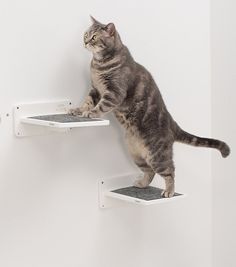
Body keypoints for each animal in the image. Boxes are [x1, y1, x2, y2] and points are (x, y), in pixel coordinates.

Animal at [69, 16, 230, 197]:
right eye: (86, 34)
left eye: (94, 37)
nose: (85, 41)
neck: (98, 64)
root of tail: (172, 123)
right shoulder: (95, 90)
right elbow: (87, 101)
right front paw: (78, 110)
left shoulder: (114, 92)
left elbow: (101, 106)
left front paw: (91, 113)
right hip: (136, 153)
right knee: (150, 171)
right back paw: (142, 183)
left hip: (157, 155)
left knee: (170, 171)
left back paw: (169, 191)